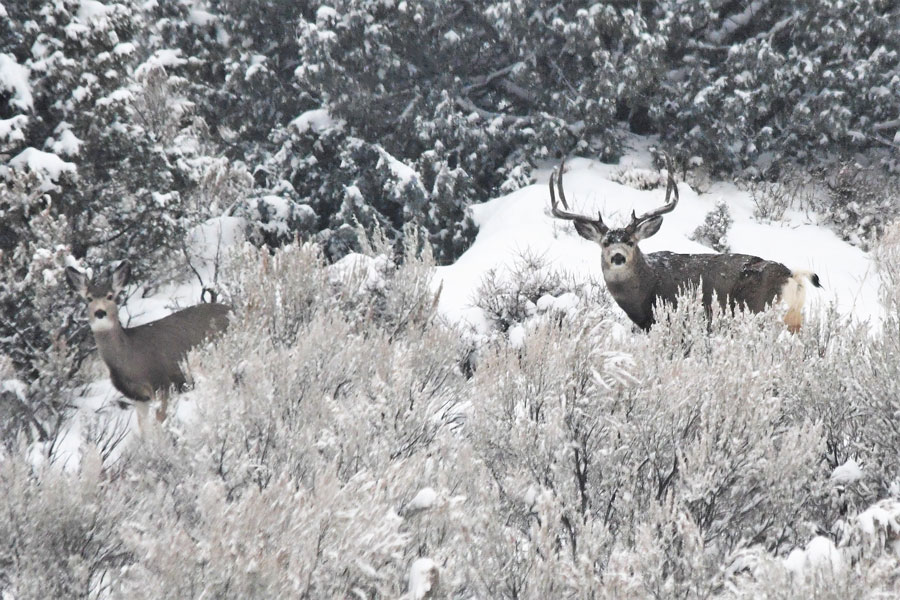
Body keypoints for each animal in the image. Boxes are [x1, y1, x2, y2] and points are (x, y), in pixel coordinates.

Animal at [66, 261, 231, 430]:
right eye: (89, 299)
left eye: (110, 296)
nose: (100, 312)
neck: (128, 356)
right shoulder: (139, 397)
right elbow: (144, 429)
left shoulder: (161, 384)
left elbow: (162, 424)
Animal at [548, 158, 821, 332]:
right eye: (605, 242)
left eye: (630, 241)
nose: (617, 256)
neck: (646, 287)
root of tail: (791, 275)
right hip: (793, 320)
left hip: (758, 311)